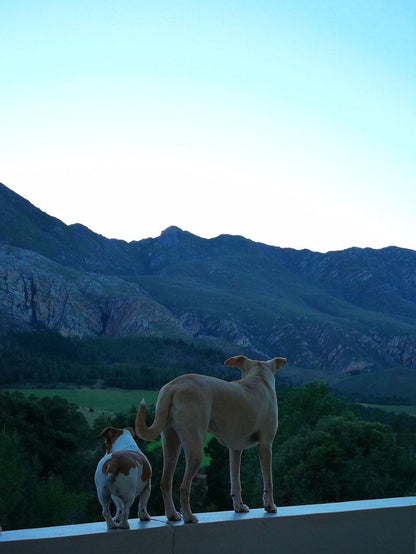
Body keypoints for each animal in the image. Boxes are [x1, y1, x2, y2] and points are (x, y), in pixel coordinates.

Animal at [135, 354, 288, 520]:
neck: (259, 377)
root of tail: (173, 386)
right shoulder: (266, 445)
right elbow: (269, 481)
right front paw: (270, 506)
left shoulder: (235, 449)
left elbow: (235, 481)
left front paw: (239, 507)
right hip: (195, 447)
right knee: (183, 486)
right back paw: (189, 516)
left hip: (171, 442)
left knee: (165, 482)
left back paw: (173, 514)